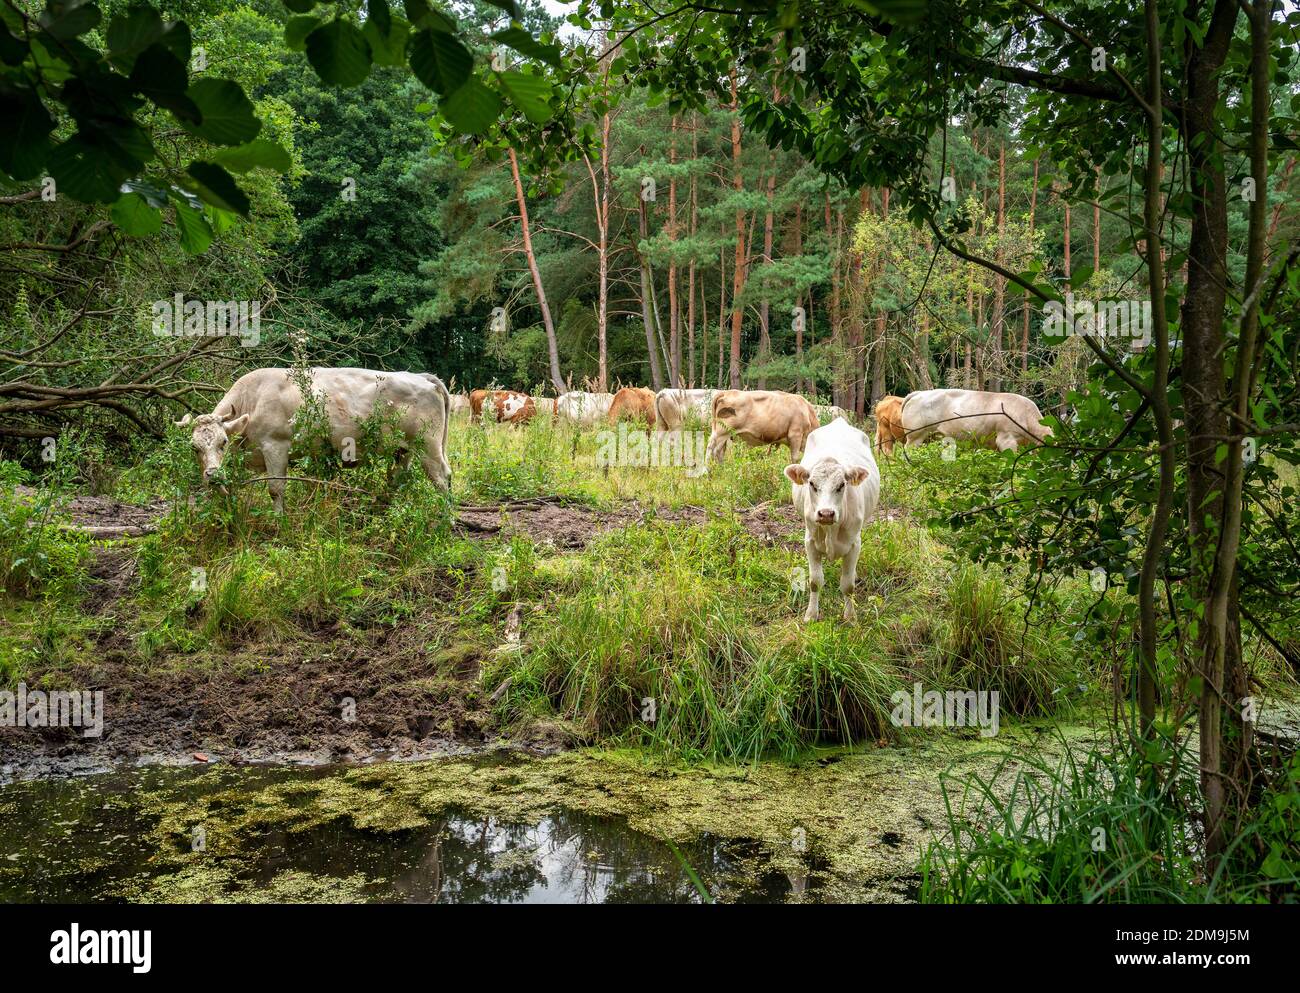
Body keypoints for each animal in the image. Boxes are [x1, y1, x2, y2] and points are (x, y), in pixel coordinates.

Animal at [177, 367, 451, 513]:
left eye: (223, 441)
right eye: (194, 448)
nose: (211, 474)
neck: (253, 400)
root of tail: (422, 377)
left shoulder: (275, 446)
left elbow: (275, 489)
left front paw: (279, 520)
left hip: (429, 446)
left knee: (442, 478)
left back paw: (444, 519)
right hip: (403, 449)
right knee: (397, 479)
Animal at [784, 417, 881, 623]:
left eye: (842, 485)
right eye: (812, 484)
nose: (826, 513)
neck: (831, 530)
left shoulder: (854, 544)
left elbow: (848, 585)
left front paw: (850, 617)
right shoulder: (810, 542)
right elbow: (815, 581)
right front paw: (811, 614)